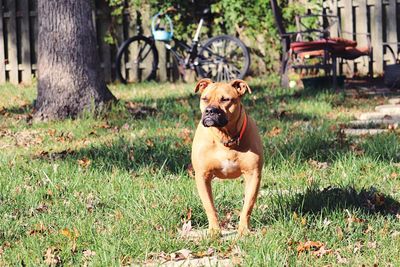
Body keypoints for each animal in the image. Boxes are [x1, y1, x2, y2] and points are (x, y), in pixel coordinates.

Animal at [191, 78, 262, 237]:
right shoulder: (202, 176)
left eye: (225, 99)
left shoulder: (253, 175)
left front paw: (243, 229)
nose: (210, 110)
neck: (225, 137)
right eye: (204, 99)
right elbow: (209, 206)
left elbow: (248, 205)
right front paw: (214, 231)